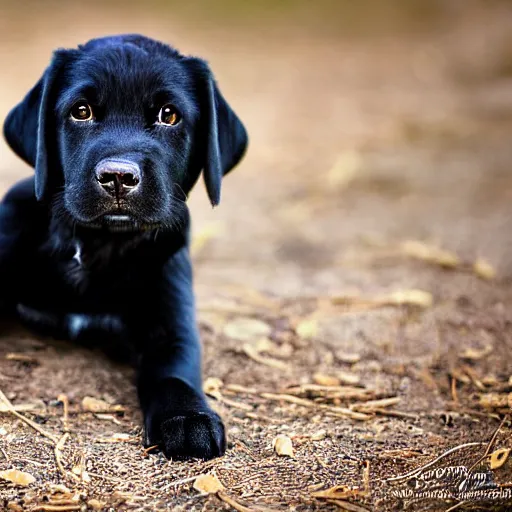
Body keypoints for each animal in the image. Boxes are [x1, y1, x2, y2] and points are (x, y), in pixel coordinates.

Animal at [0, 35, 248, 460]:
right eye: (81, 112)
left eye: (169, 115)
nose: (118, 176)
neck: (99, 246)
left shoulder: (171, 323)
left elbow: (175, 373)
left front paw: (189, 418)